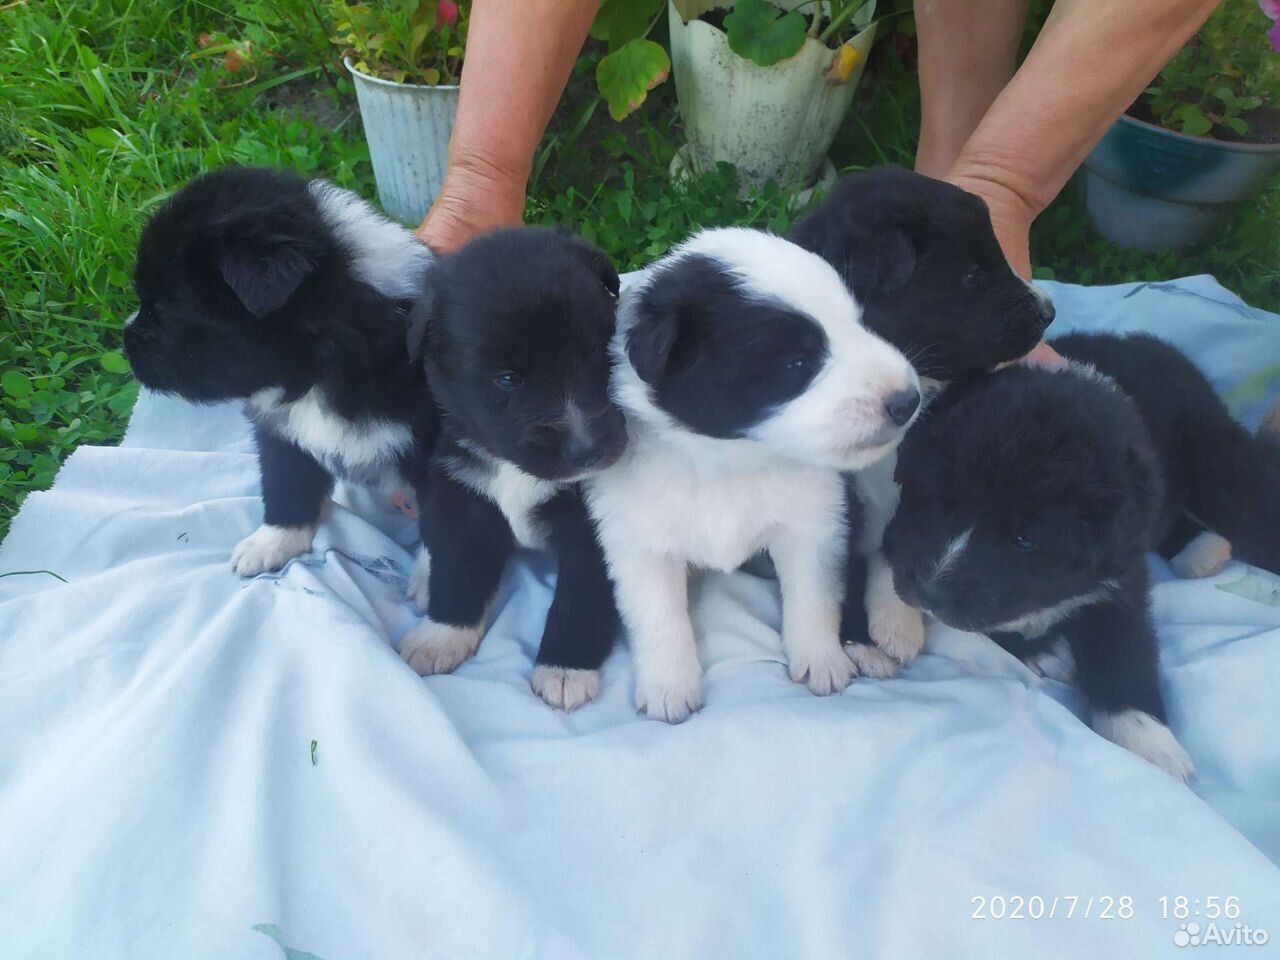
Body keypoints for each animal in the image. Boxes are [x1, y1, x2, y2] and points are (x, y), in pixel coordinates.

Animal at [124, 166, 437, 576]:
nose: (124, 343)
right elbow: (287, 484)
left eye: (162, 310)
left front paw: (432, 586)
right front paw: (273, 542)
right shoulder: (284, 435)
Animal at [394, 227, 624, 716]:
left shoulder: (595, 529)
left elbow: (581, 596)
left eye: (599, 354)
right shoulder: (462, 494)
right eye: (507, 379)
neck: (515, 471)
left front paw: (564, 670)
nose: (588, 449)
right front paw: (441, 636)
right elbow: (458, 568)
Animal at [586, 231, 926, 721]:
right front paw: (669, 686)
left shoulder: (813, 523)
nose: (907, 401)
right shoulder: (638, 539)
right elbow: (660, 614)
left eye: (860, 323)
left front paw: (821, 659)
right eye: (796, 363)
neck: (730, 461)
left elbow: (814, 595)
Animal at [885, 330, 1280, 783]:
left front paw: (1148, 743)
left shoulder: (1120, 578)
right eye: (942, 503)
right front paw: (1046, 650)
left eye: (1024, 539)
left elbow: (1124, 650)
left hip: (1214, 459)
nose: (929, 594)